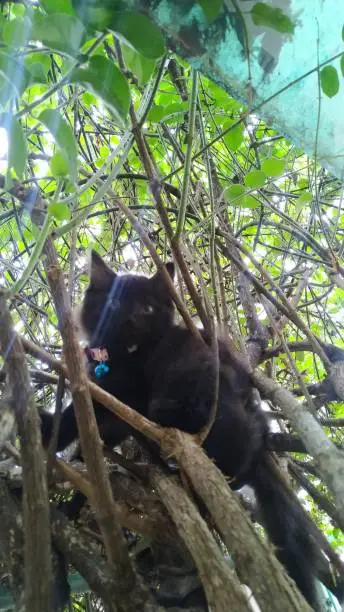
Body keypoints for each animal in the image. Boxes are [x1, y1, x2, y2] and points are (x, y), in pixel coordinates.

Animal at [41, 251, 342, 608]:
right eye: (113, 304)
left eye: (147, 308)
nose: (130, 319)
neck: (121, 357)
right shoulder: (112, 403)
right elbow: (96, 435)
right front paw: (75, 483)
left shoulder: (125, 392)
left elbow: (76, 417)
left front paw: (48, 430)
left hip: (193, 370)